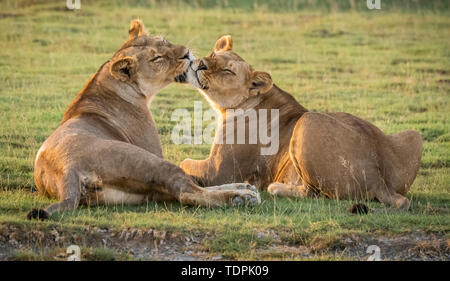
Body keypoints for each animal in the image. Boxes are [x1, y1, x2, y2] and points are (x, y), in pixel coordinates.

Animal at [28, 21, 260, 219]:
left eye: (164, 40)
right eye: (156, 59)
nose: (186, 54)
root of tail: (67, 169)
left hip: (133, 192)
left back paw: (243, 189)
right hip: (146, 161)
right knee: (187, 192)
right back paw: (240, 197)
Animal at [181, 35, 424, 209]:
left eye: (227, 70)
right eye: (212, 54)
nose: (200, 64)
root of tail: (378, 179)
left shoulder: (218, 171)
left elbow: (185, 163)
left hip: (308, 120)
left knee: (314, 192)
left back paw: (277, 188)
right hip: (414, 134)